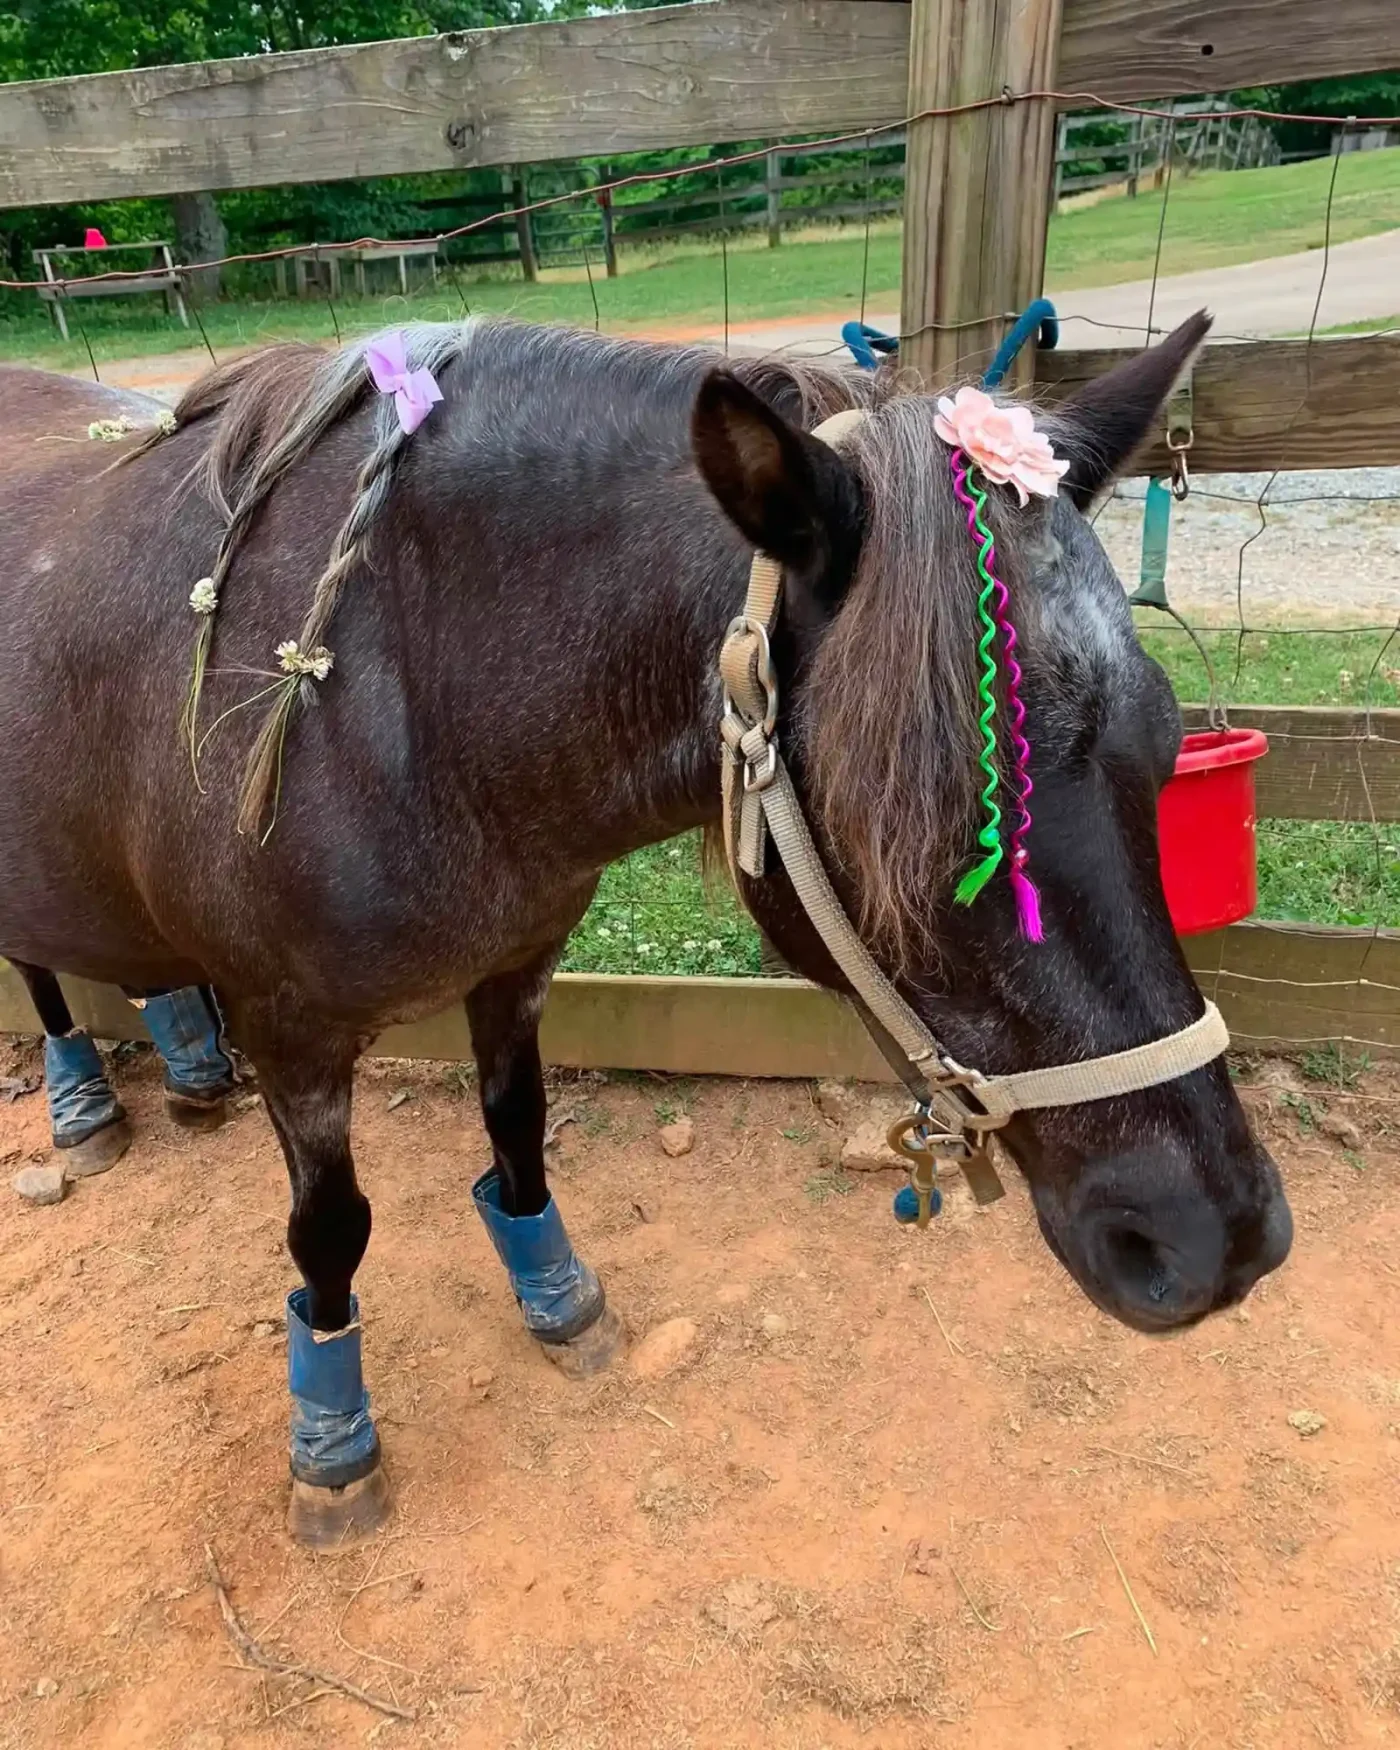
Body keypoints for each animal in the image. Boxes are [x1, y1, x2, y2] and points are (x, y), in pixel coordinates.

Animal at [0, 315, 1291, 1544]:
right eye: (928, 819)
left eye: (1164, 746)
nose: (1213, 1239)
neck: (394, 682)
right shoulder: (291, 1031)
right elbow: (331, 1232)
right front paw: (331, 1444)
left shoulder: (518, 960)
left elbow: (519, 1132)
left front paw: (556, 1296)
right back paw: (81, 1098)